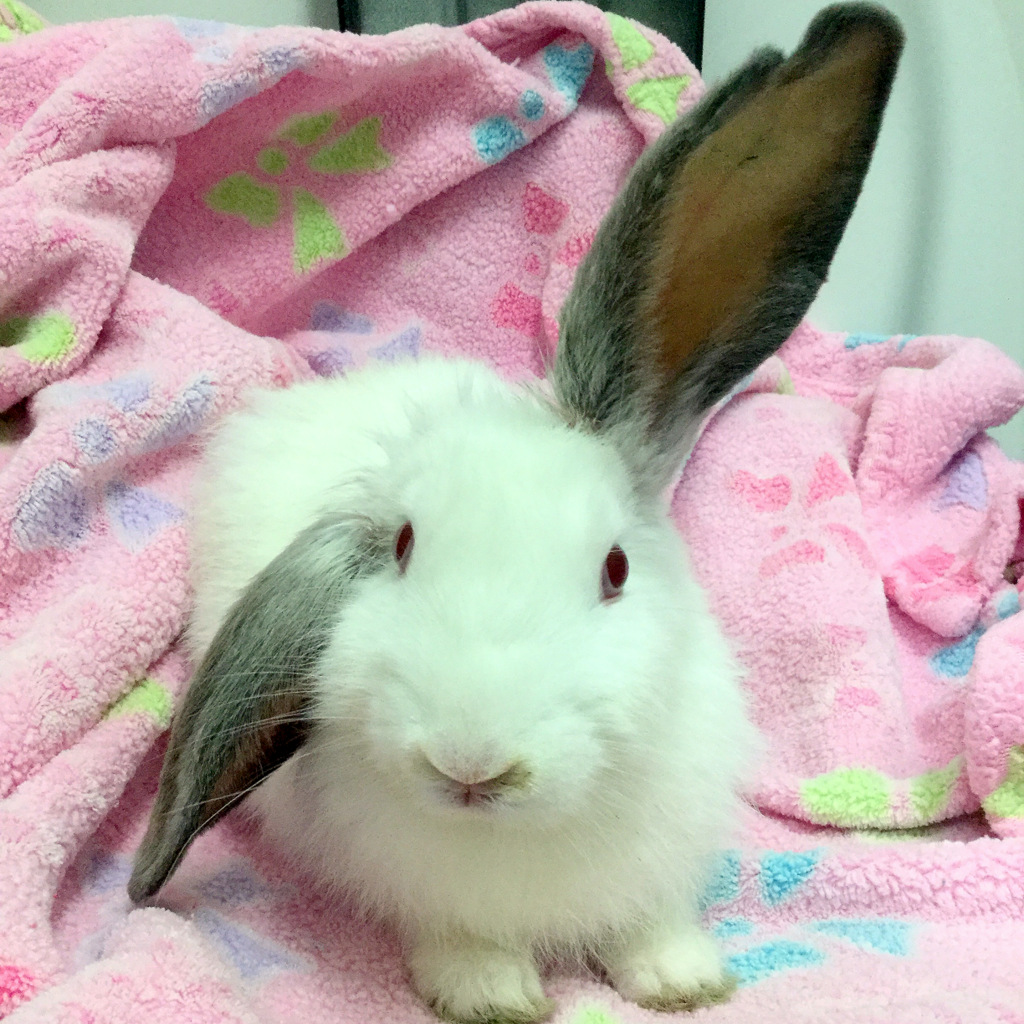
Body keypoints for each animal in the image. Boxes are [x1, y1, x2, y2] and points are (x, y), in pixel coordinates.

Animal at [129, 5, 903, 1021]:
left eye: (615, 570)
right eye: (402, 548)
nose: (471, 761)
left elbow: (650, 924)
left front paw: (684, 981)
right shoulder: (429, 899)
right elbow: (465, 942)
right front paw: (492, 995)